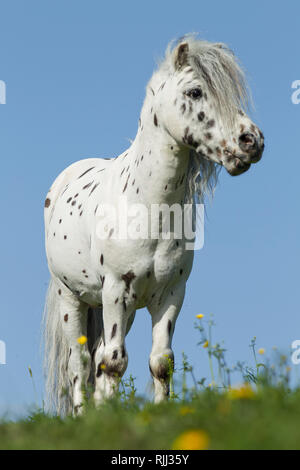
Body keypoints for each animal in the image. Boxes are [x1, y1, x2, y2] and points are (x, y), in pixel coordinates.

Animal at [42, 35, 264, 414]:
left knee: (97, 359)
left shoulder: (170, 294)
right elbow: (114, 362)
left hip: (122, 308)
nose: (252, 141)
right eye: (194, 91)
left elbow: (161, 362)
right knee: (80, 362)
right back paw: (84, 414)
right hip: (72, 299)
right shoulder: (116, 291)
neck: (149, 209)